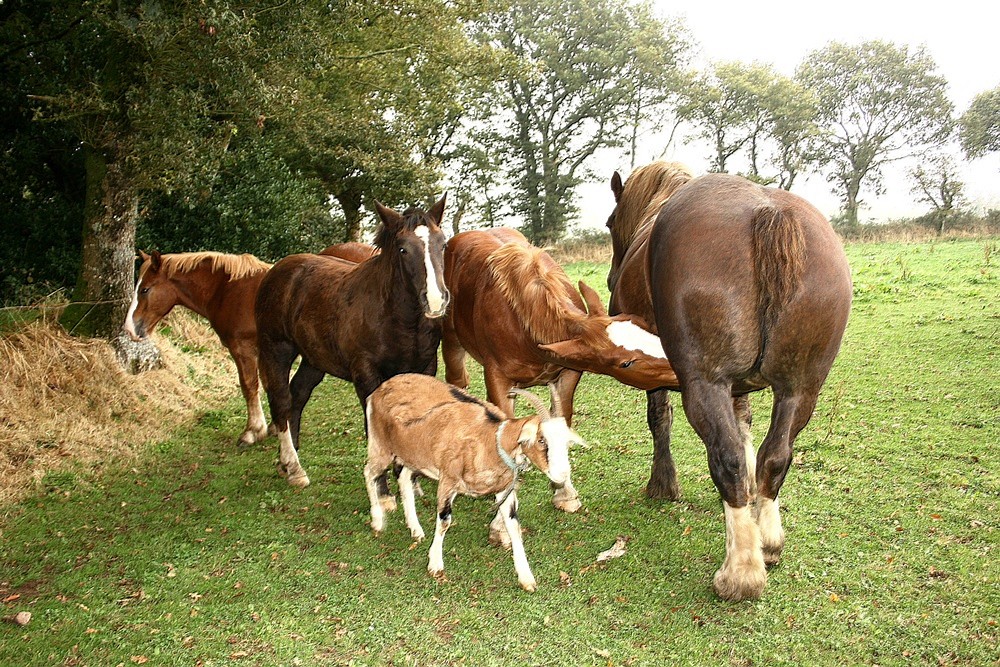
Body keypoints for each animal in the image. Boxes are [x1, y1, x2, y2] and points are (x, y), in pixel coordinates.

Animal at [124, 243, 376, 446]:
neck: (228, 290)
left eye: (145, 289)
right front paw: (276, 425)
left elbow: (249, 385)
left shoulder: (243, 348)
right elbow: (270, 385)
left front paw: (253, 431)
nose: (129, 329)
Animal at [254, 197, 450, 490]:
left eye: (443, 244)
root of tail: (274, 273)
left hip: (314, 359)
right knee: (282, 400)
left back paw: (288, 461)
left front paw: (411, 480)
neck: (398, 319)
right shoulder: (366, 376)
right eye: (402, 249)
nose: (436, 300)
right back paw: (293, 467)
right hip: (276, 350)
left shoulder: (424, 368)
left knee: (298, 394)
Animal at [366, 374, 580, 592]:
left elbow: (514, 527)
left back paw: (415, 529)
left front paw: (526, 578)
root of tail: (380, 389)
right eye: (542, 440)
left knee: (403, 477)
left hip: (412, 454)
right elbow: (444, 521)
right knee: (369, 472)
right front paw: (435, 565)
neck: (490, 441)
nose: (562, 474)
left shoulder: (504, 489)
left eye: (565, 442)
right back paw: (377, 521)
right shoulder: (448, 480)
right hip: (381, 446)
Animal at [444, 226, 680, 516]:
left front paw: (563, 492)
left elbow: (560, 423)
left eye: (645, 326)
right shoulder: (497, 376)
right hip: (450, 339)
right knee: (457, 381)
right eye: (626, 363)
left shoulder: (567, 374)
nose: (681, 368)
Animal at [600, 162, 852, 600]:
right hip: (801, 389)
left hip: (705, 384)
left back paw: (741, 572)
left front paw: (663, 484)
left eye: (611, 222)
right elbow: (746, 428)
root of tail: (770, 213)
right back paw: (768, 542)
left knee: (727, 456)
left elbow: (660, 419)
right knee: (775, 456)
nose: (611, 283)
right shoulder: (742, 387)